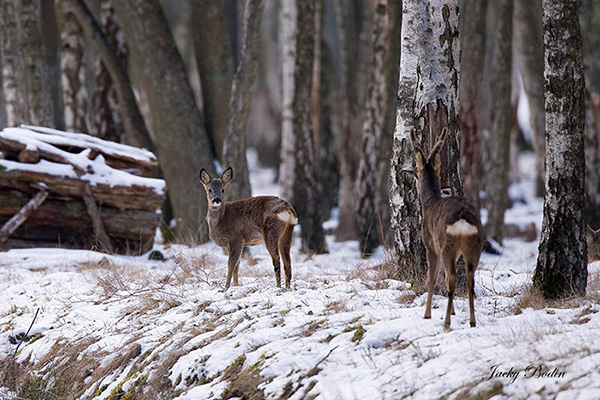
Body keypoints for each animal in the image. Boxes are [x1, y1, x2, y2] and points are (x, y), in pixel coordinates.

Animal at [410, 127, 486, 328]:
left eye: (417, 169)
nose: (415, 174)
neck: (429, 203)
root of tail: (462, 220)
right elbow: (443, 276)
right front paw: (452, 311)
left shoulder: (430, 245)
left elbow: (432, 278)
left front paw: (427, 314)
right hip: (474, 245)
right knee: (469, 278)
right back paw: (472, 321)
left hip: (446, 244)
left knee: (453, 277)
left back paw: (446, 322)